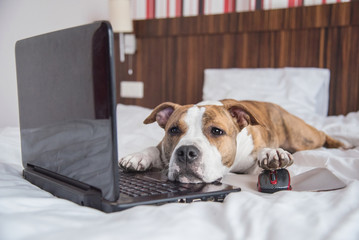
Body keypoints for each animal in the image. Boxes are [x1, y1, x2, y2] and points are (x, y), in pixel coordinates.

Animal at [119, 99, 348, 184]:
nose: (185, 152)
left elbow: (263, 150)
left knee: (322, 134)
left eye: (216, 131)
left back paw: (345, 144)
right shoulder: (164, 147)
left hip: (303, 137)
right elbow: (155, 148)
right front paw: (138, 156)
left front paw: (272, 153)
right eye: (173, 130)